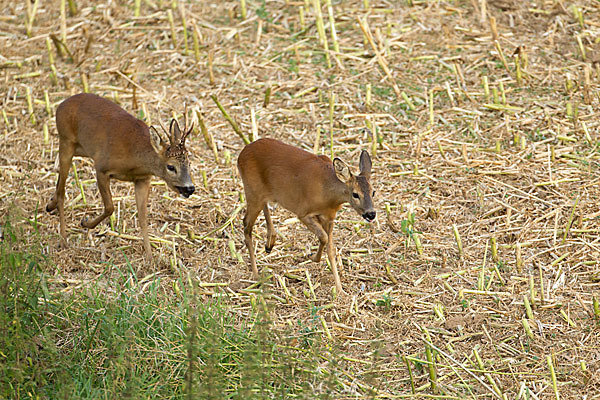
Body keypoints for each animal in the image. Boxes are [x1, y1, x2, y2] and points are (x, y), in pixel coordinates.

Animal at [48, 92, 197, 258]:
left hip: (80, 148)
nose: (189, 188)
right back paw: (63, 240)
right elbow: (110, 207)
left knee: (59, 181)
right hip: (66, 140)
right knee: (62, 190)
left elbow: (143, 218)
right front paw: (85, 223)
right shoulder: (101, 168)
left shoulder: (143, 179)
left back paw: (50, 205)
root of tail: (61, 105)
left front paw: (150, 258)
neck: (135, 158)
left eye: (189, 163)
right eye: (171, 167)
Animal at [236, 138, 372, 294]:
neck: (328, 192)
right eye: (355, 194)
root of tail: (242, 153)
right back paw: (256, 275)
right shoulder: (303, 212)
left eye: (373, 192)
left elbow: (331, 250)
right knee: (246, 224)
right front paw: (312, 256)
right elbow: (323, 237)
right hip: (252, 190)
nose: (371, 214)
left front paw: (340, 290)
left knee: (263, 207)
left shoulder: (329, 217)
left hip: (260, 192)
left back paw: (270, 242)